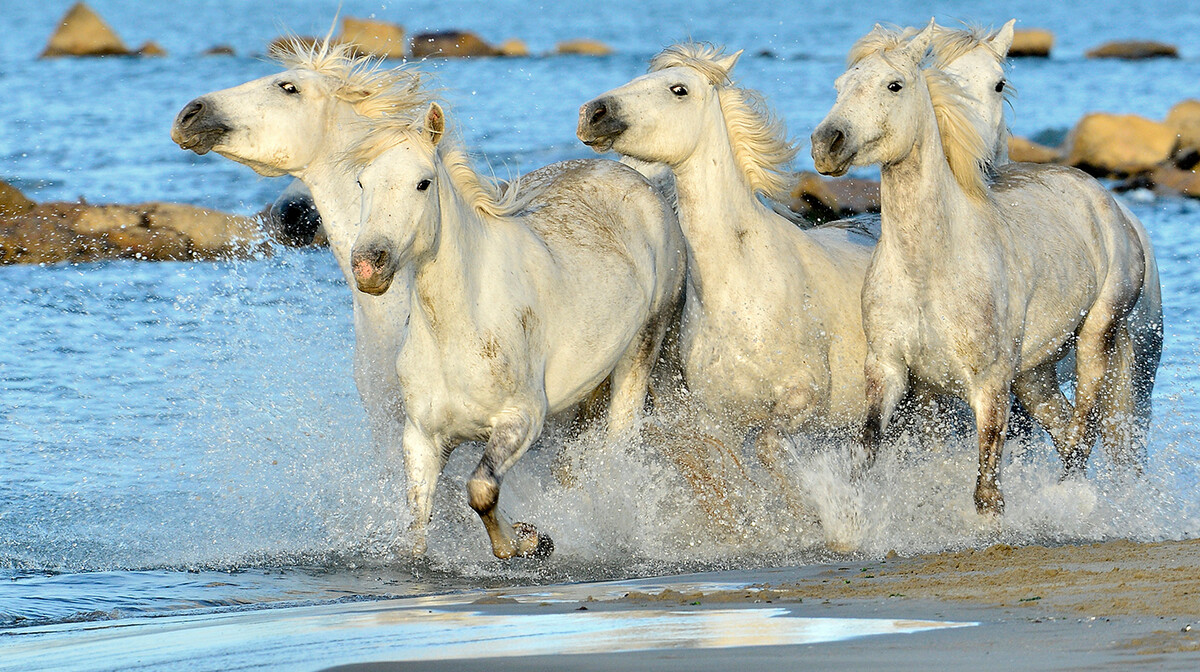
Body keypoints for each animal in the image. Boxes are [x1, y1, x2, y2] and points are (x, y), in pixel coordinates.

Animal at [348, 103, 686, 556]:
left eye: (423, 183)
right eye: (362, 182)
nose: (368, 265)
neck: (458, 330)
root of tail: (639, 180)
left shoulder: (521, 419)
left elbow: (480, 489)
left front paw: (528, 543)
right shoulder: (422, 438)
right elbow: (418, 525)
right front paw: (529, 533)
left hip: (642, 349)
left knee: (617, 448)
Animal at [576, 44, 878, 484]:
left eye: (678, 89)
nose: (591, 113)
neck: (742, 285)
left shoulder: (803, 397)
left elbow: (769, 448)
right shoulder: (717, 420)